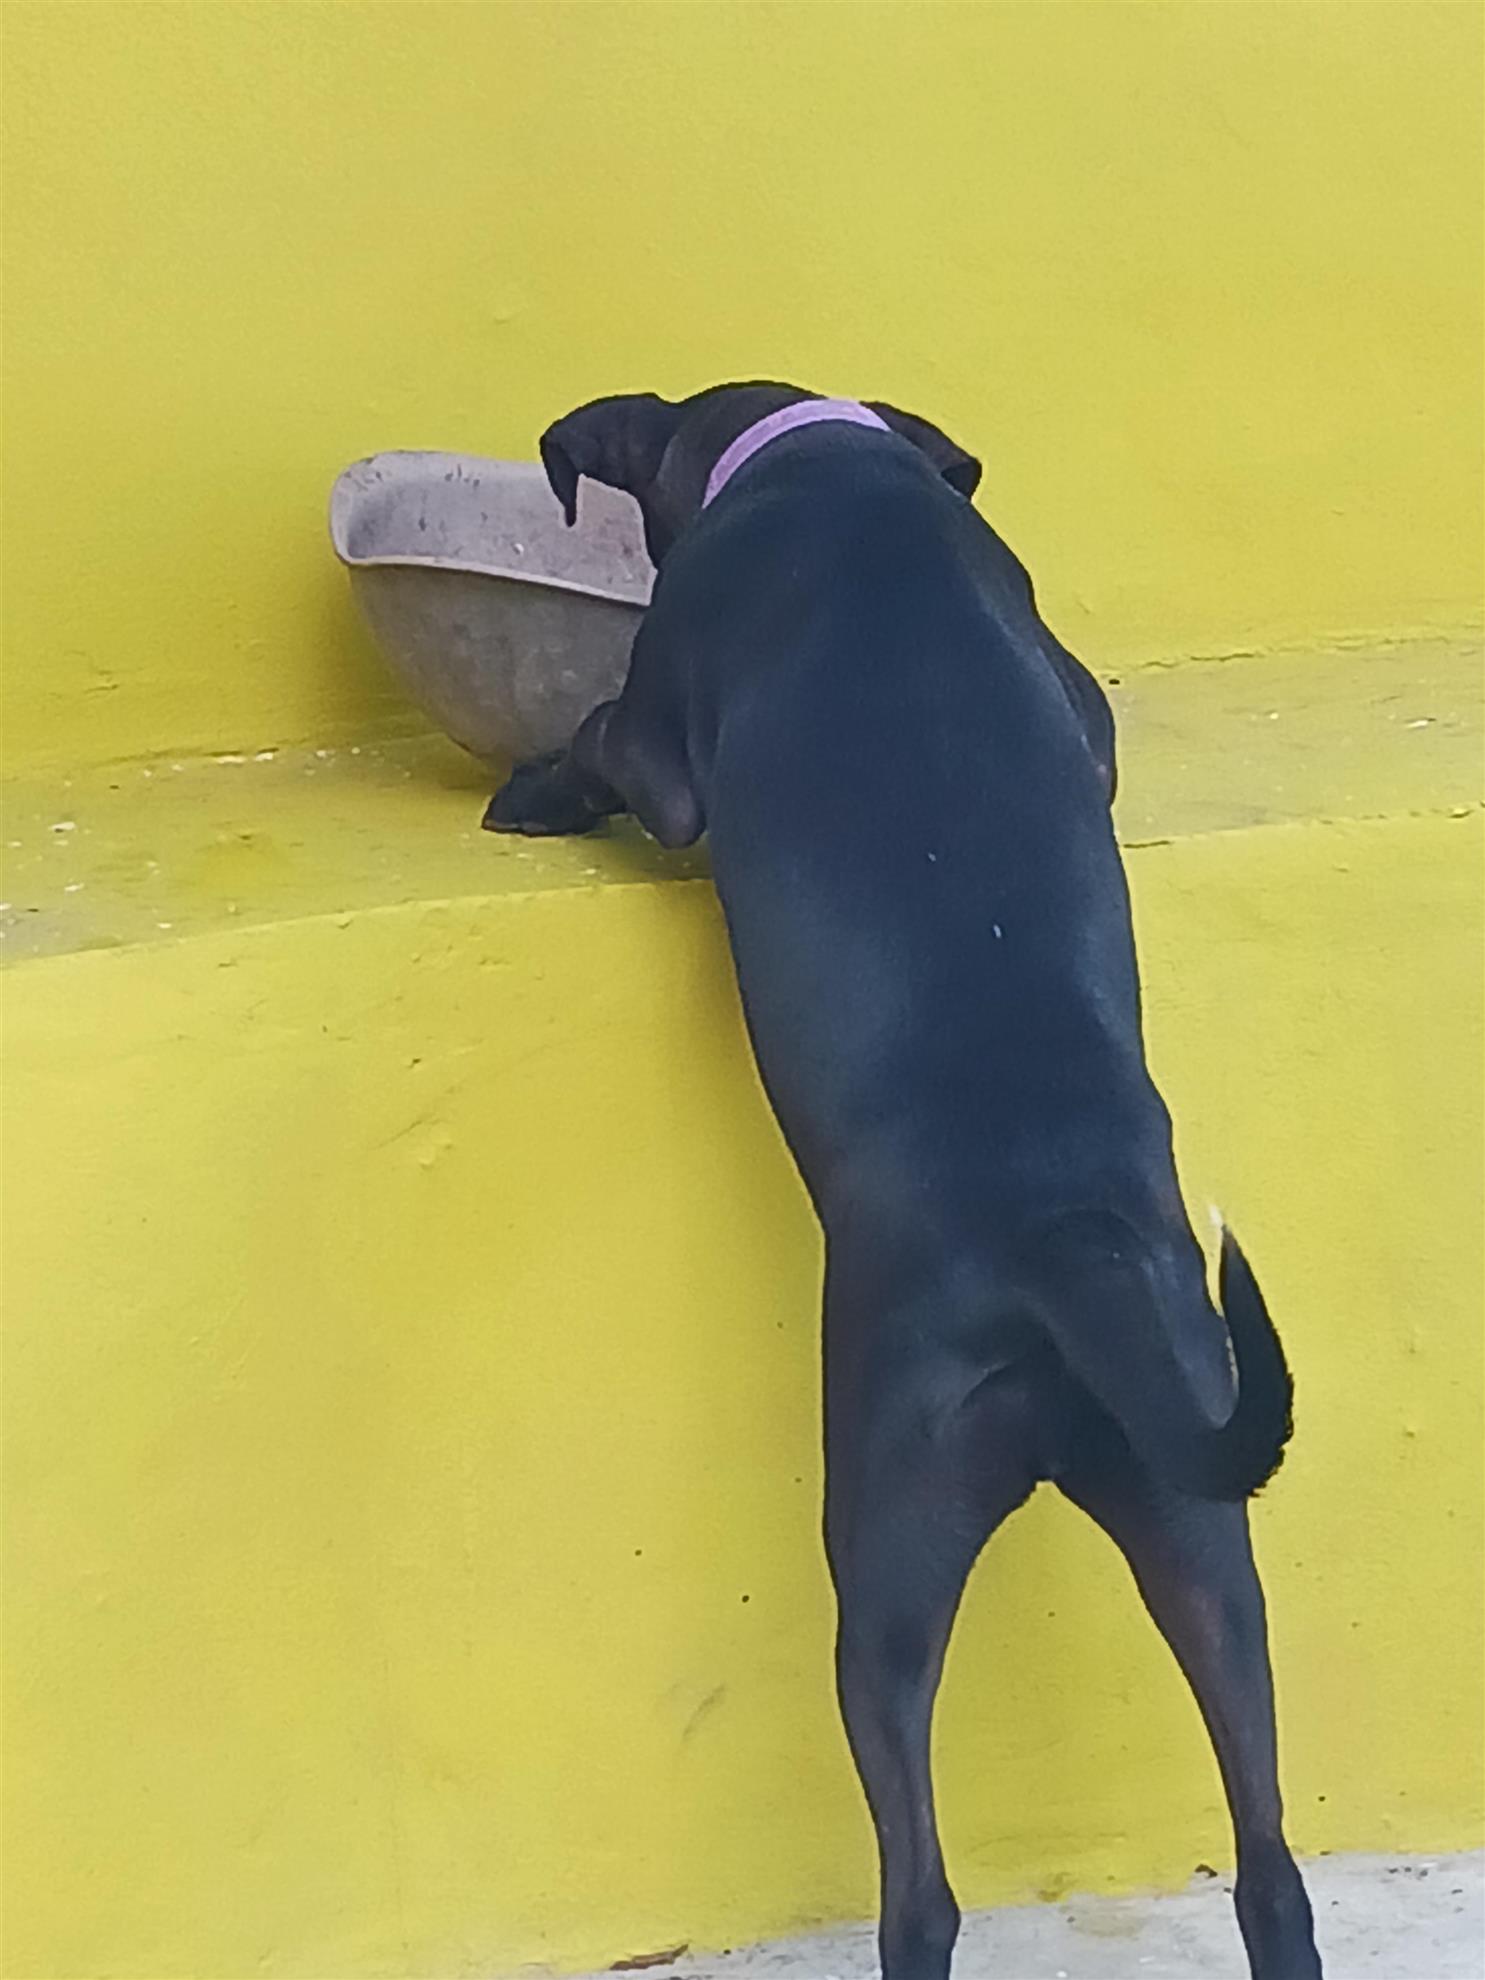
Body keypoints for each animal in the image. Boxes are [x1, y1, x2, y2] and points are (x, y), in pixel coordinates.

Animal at [484, 383, 1322, 1980]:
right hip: (1204, 1527)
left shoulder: (665, 737)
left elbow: (608, 738)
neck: (830, 467)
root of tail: (1064, 1252)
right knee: (1269, 1864)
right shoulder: (1085, 705)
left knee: (921, 1885)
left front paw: (532, 787)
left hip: (884, 1543)